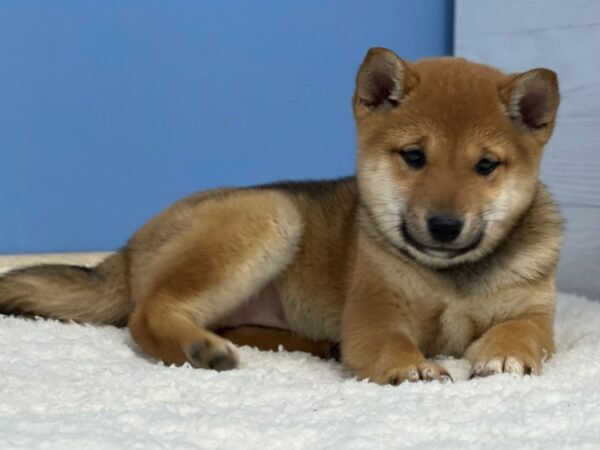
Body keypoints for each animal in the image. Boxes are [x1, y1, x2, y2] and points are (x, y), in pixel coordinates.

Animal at [0, 48, 564, 384]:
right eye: (414, 157)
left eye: (485, 165)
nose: (445, 226)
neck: (452, 278)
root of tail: (127, 249)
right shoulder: (376, 313)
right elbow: (390, 344)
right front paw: (413, 368)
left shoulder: (532, 311)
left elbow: (522, 333)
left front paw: (505, 355)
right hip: (271, 216)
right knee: (146, 315)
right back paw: (198, 349)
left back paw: (304, 344)